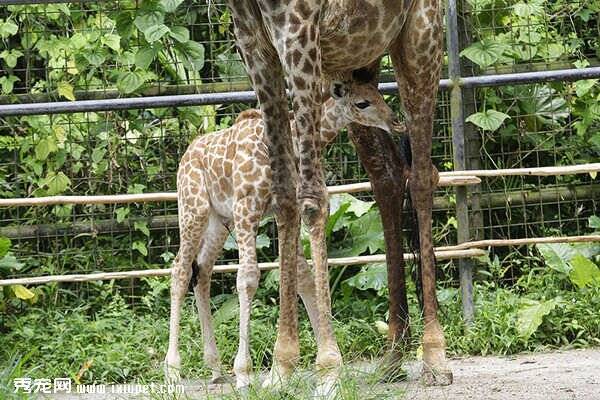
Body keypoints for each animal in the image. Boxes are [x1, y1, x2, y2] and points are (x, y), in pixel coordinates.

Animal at [165, 79, 404, 390]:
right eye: (362, 103)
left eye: (379, 94)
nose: (395, 122)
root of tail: (185, 155)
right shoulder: (247, 208)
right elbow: (248, 279)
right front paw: (245, 372)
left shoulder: (277, 210)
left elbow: (303, 276)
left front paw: (324, 362)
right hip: (194, 208)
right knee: (180, 270)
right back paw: (173, 370)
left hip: (219, 219)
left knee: (202, 271)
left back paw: (215, 367)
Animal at [223, 0, 452, 392]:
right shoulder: (254, 45)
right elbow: (285, 195)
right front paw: (281, 367)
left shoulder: (299, 35)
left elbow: (313, 200)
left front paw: (328, 368)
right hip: (359, 58)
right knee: (388, 176)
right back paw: (393, 355)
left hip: (422, 35)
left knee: (423, 177)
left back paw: (434, 356)